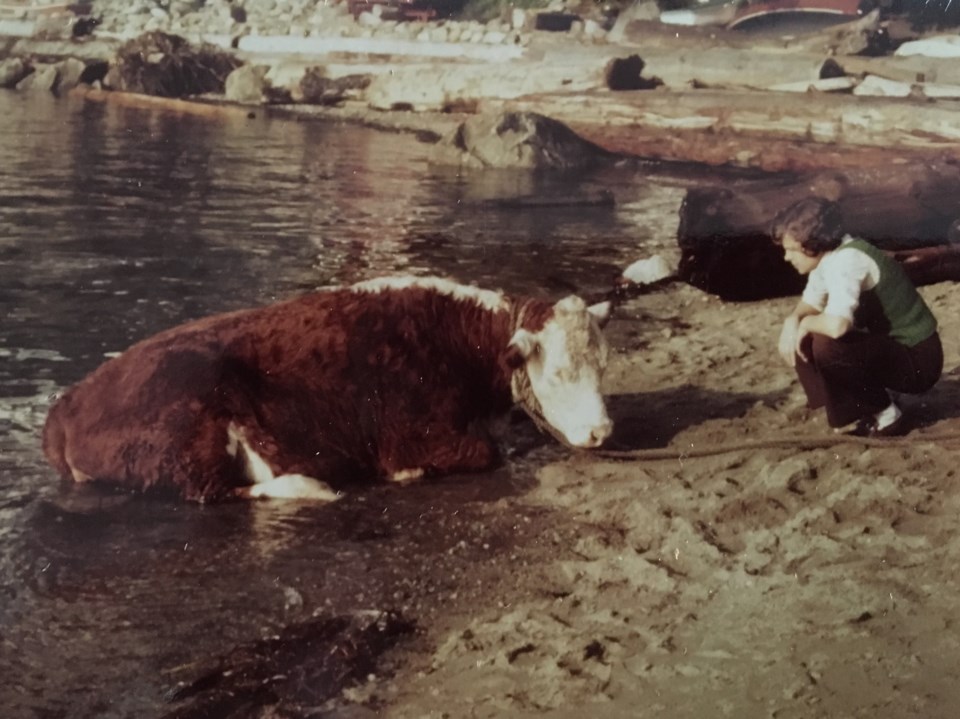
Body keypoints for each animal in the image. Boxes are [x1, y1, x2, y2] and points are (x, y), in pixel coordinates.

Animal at [41, 274, 612, 500]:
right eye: (557, 373)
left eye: (602, 365)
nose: (602, 431)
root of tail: (67, 404)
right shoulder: (417, 434)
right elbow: (484, 452)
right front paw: (406, 473)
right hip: (190, 432)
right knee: (215, 491)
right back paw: (309, 487)